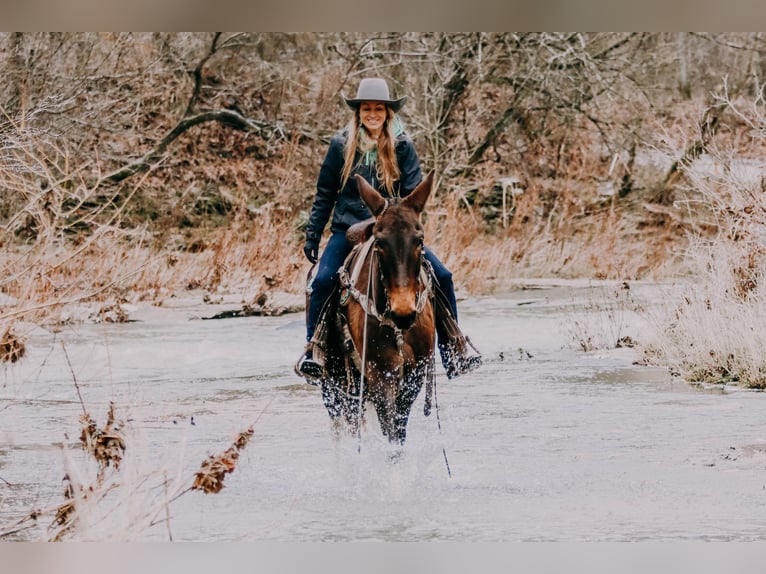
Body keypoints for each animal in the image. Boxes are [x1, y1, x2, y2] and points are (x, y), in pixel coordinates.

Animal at [316, 171, 438, 446]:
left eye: (420, 239)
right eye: (380, 242)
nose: (403, 311)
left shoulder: (413, 376)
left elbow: (399, 431)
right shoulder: (379, 374)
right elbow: (390, 432)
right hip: (336, 383)